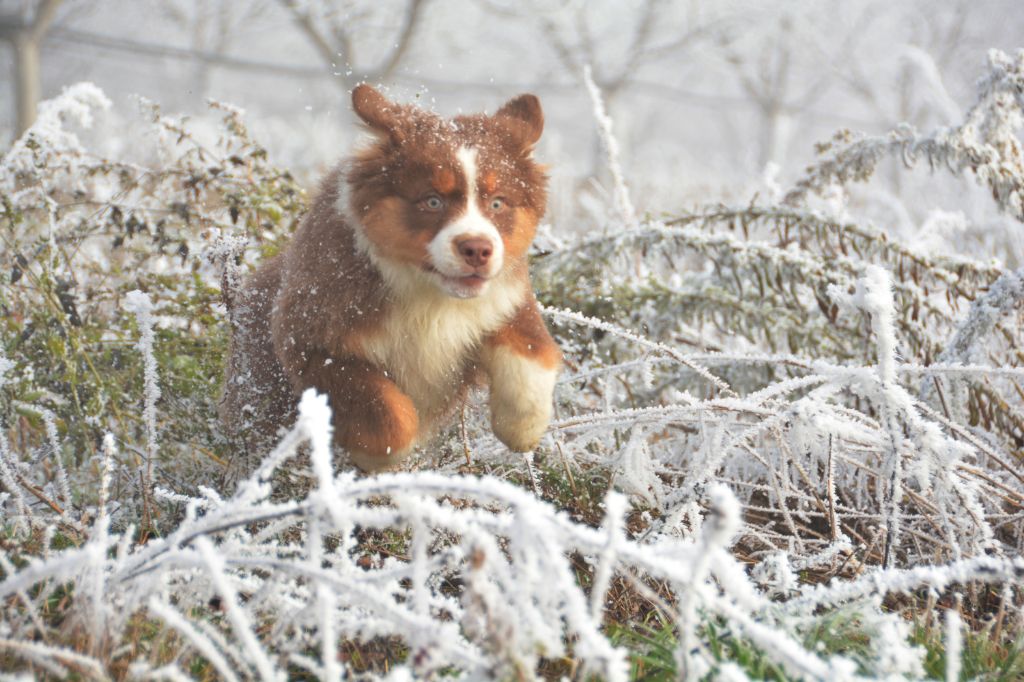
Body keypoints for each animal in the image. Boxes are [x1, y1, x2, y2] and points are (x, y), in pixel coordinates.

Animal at [219, 84, 565, 471]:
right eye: (432, 201)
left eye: (497, 203)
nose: (477, 249)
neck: (429, 294)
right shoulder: (312, 332)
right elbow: (386, 413)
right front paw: (379, 460)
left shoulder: (502, 297)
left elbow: (532, 350)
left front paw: (523, 429)